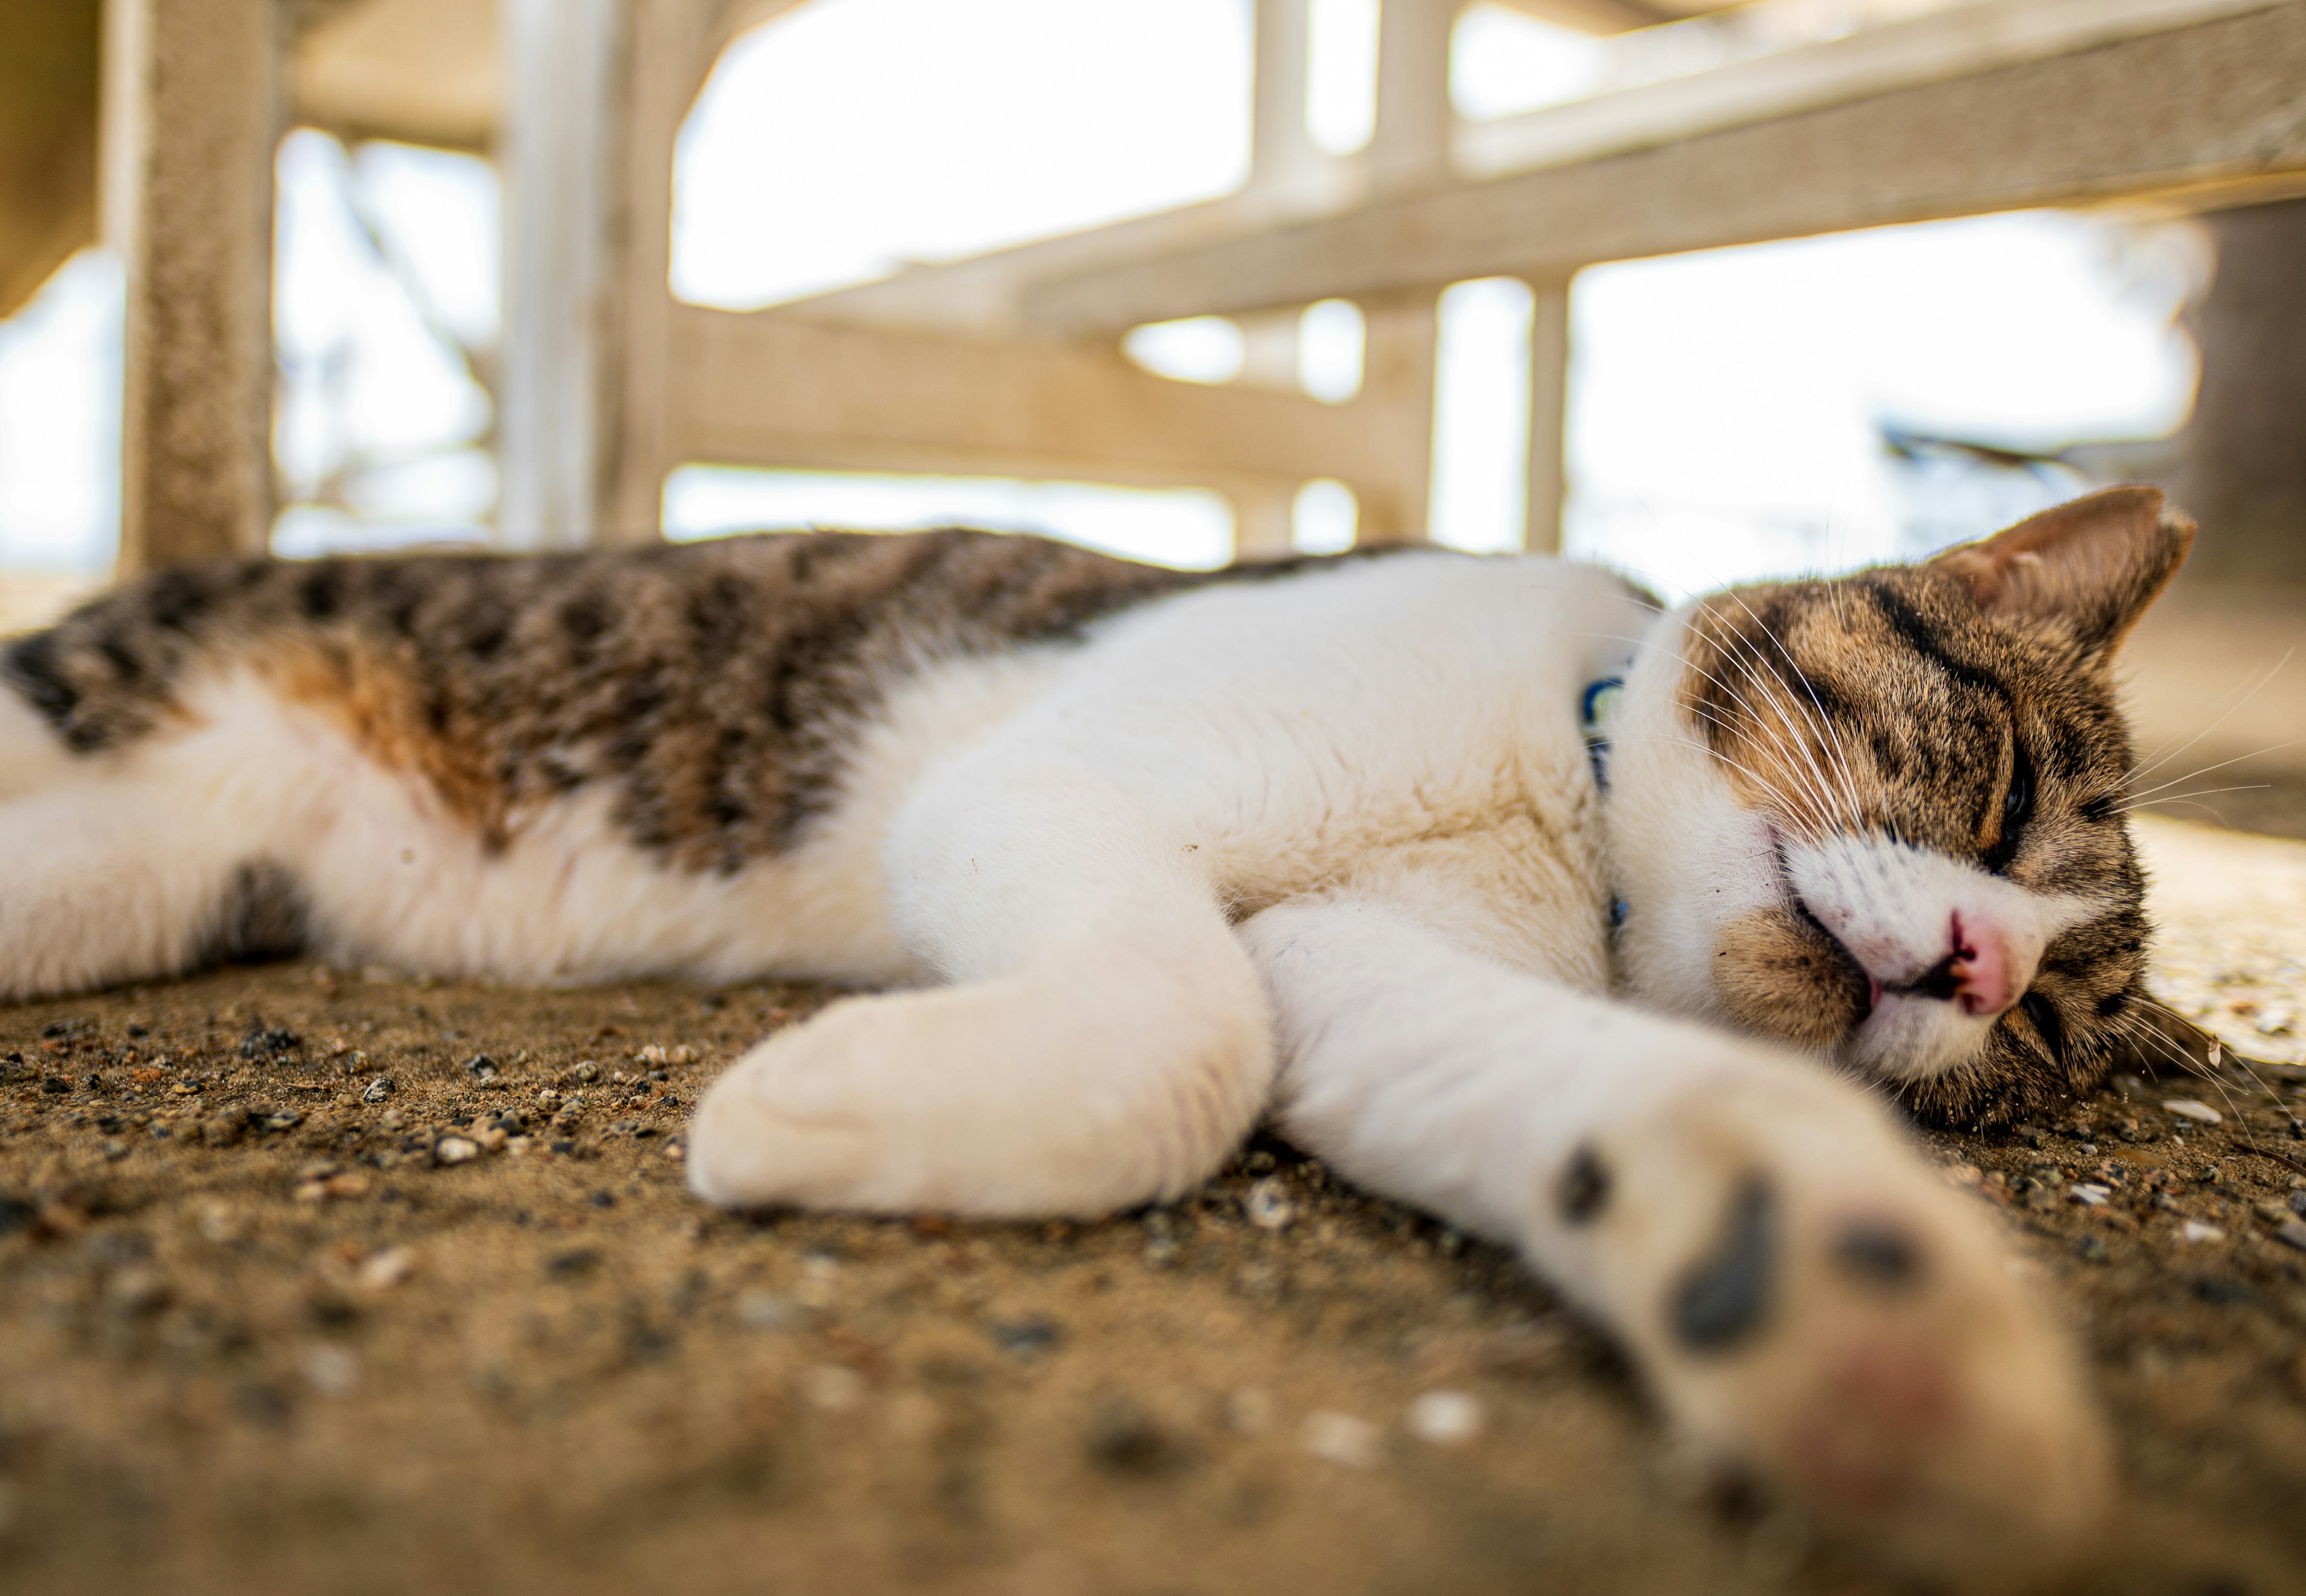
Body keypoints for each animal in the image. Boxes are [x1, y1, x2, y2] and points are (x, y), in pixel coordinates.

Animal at [4, 479, 2195, 1568]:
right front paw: (803, 1110)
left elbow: (1450, 1060)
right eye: (2004, 787)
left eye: (2050, 1046)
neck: (1559, 814)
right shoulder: (1053, 785)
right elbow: (1184, 1026)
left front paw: (1853, 1320)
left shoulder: (1357, 960)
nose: (1985, 970)